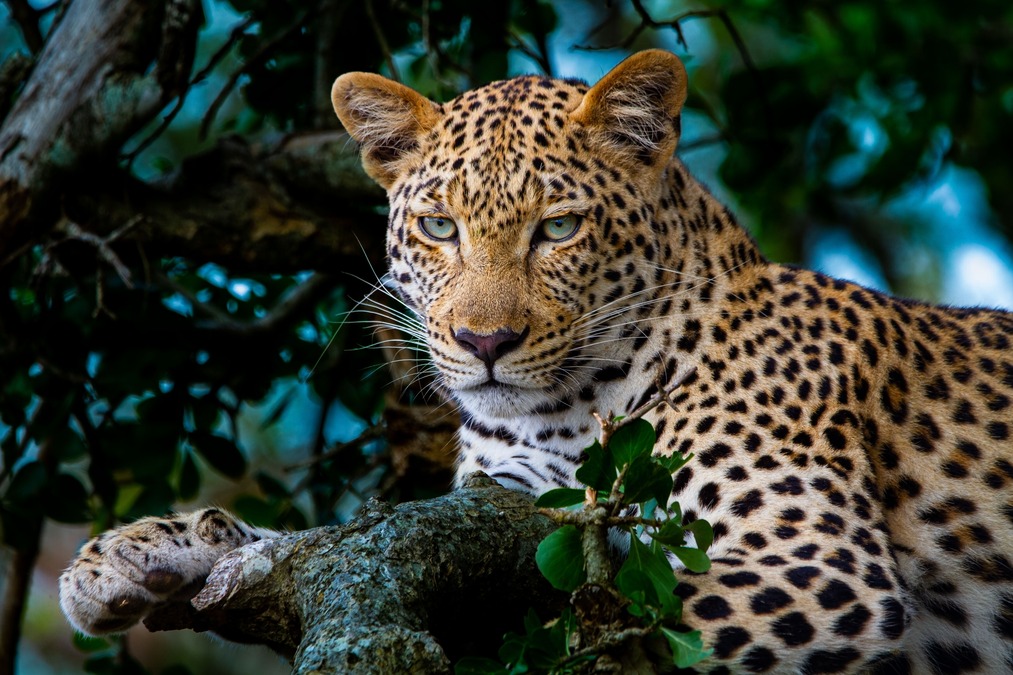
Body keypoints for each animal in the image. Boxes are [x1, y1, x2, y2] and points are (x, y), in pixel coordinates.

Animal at [61, 49, 1013, 668]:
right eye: (438, 226)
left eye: (556, 228)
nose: (484, 343)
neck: (572, 407)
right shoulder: (512, 497)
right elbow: (323, 539)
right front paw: (136, 552)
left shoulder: (817, 566)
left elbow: (599, 609)